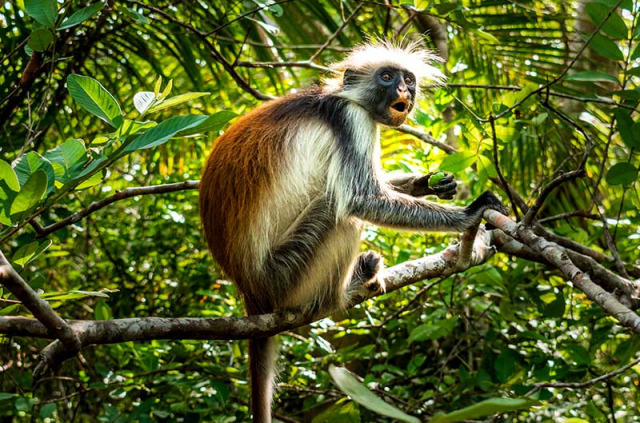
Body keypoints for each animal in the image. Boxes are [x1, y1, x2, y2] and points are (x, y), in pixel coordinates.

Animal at [198, 40, 508, 423]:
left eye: (408, 79)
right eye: (387, 77)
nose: (403, 90)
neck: (341, 97)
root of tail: (250, 290)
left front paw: (428, 183)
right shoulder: (350, 121)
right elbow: (361, 199)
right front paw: (470, 213)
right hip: (286, 274)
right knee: (339, 212)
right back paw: (345, 289)